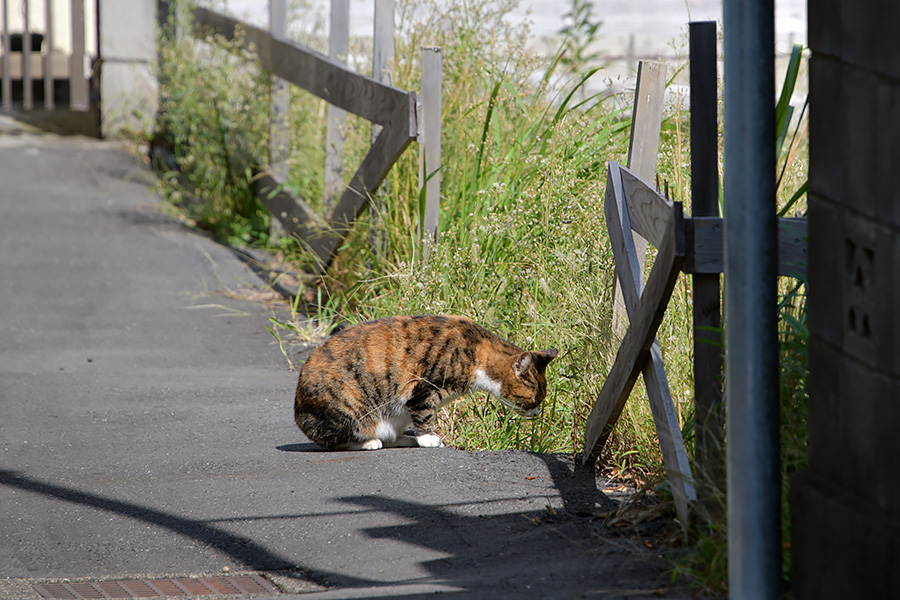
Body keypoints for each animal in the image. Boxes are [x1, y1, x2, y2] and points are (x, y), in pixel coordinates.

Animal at [296, 314, 560, 450]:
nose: (537, 413)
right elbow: (424, 412)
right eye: (533, 399)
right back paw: (371, 442)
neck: (476, 353)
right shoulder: (422, 387)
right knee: (336, 441)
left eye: (541, 399)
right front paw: (428, 437)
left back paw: (401, 438)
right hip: (349, 405)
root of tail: (299, 414)